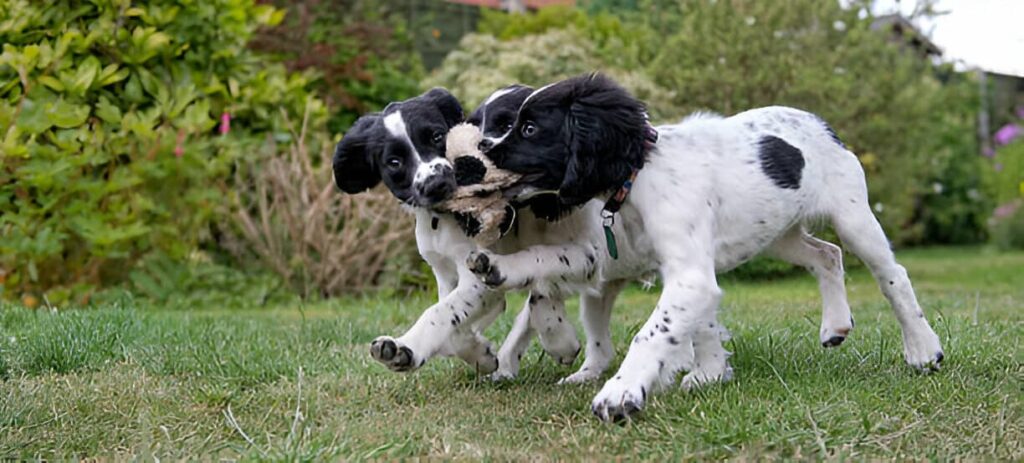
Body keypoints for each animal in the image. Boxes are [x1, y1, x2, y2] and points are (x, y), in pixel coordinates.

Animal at [479, 73, 942, 424]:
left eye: (529, 128)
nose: (481, 149)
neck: (640, 173)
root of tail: (820, 122)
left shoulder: (689, 274)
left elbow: (653, 332)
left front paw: (622, 393)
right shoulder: (685, 271)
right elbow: (696, 323)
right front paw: (711, 372)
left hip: (854, 217)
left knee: (892, 276)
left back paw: (922, 349)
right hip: (780, 235)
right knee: (827, 254)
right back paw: (836, 324)